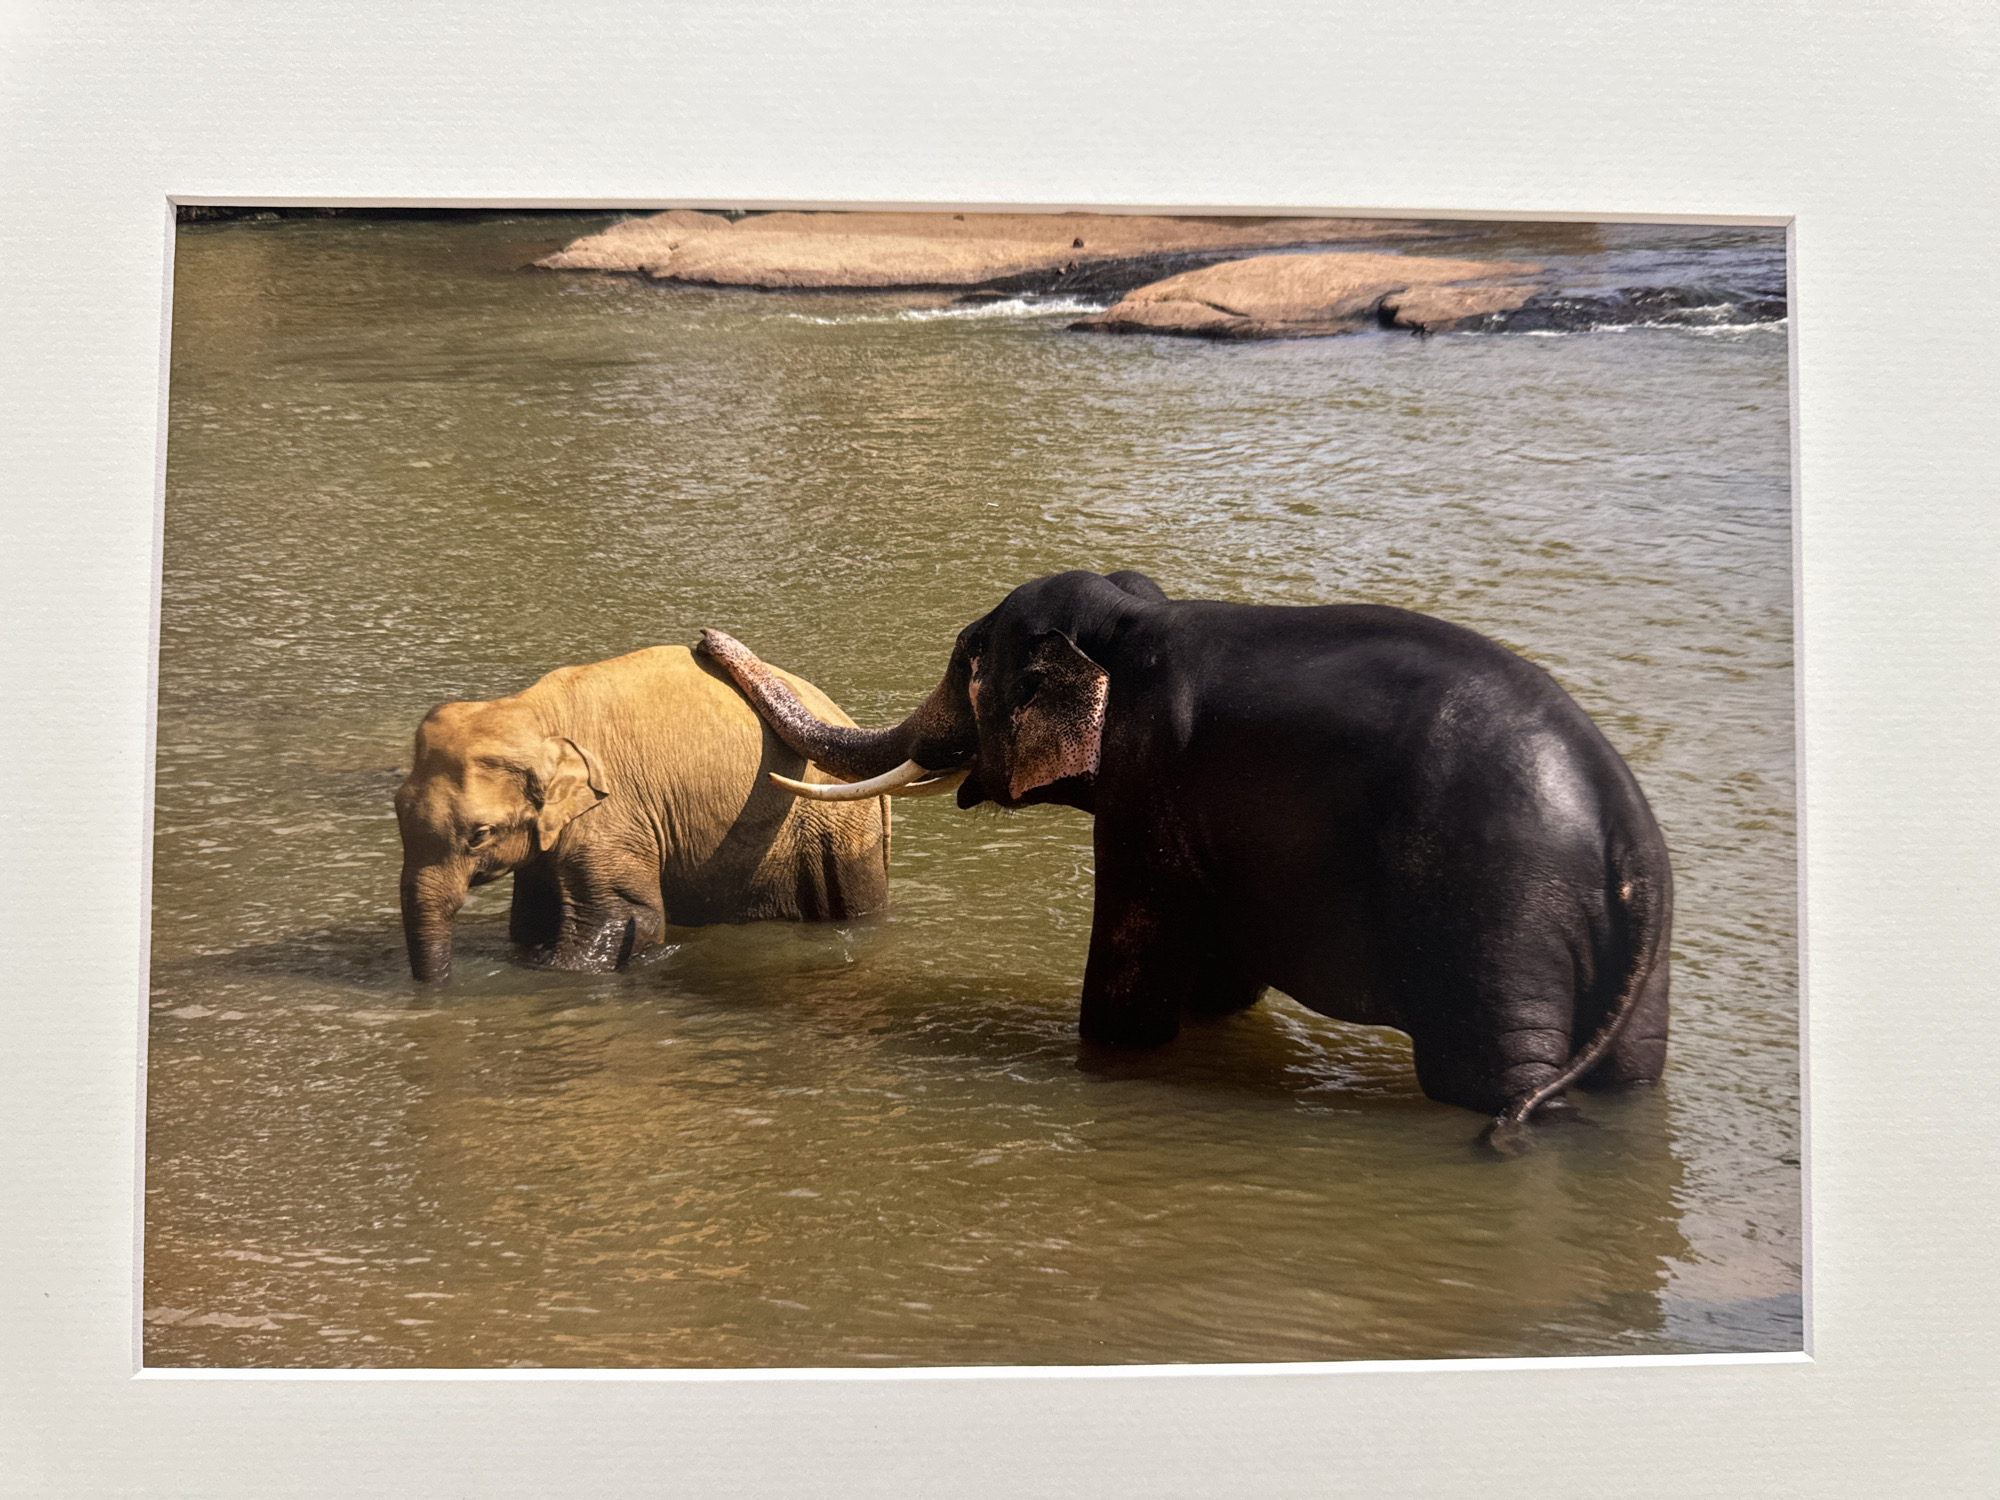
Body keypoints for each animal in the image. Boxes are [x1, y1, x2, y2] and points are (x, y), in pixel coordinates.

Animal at [394, 644, 910, 982]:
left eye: (479, 834)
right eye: (396, 810)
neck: (529, 711)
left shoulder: (615, 815)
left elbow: (629, 916)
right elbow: (531, 918)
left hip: (840, 830)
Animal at [696, 570, 1673, 1128]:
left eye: (963, 662)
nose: (705, 640)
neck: (1131, 620)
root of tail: (1623, 821)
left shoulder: (1149, 785)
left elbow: (1134, 966)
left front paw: (1112, 1053)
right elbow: (1222, 982)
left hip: (1500, 921)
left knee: (1498, 1074)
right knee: (1629, 1074)